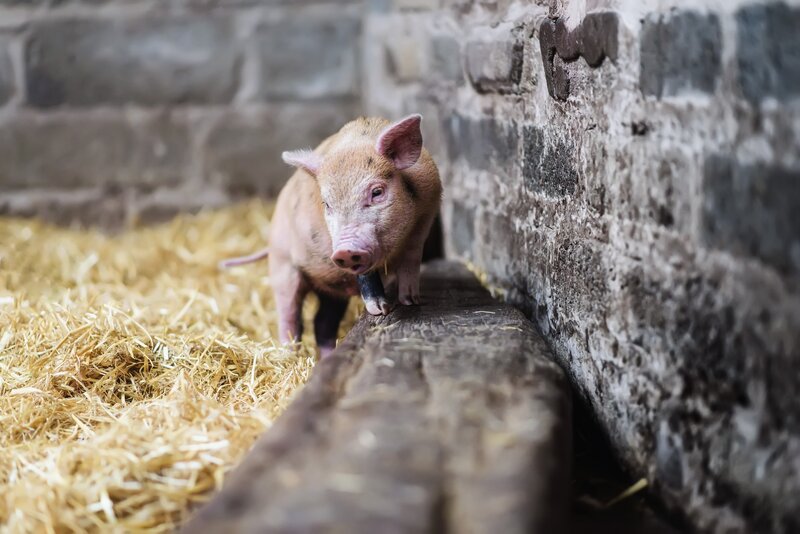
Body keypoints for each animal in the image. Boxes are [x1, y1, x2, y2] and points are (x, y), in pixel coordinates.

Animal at [222, 114, 441, 358]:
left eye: (377, 192)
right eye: (327, 204)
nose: (344, 251)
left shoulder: (424, 219)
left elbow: (411, 262)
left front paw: (411, 301)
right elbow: (366, 275)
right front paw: (380, 310)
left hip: (331, 291)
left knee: (322, 323)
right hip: (282, 266)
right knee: (289, 317)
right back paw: (290, 355)